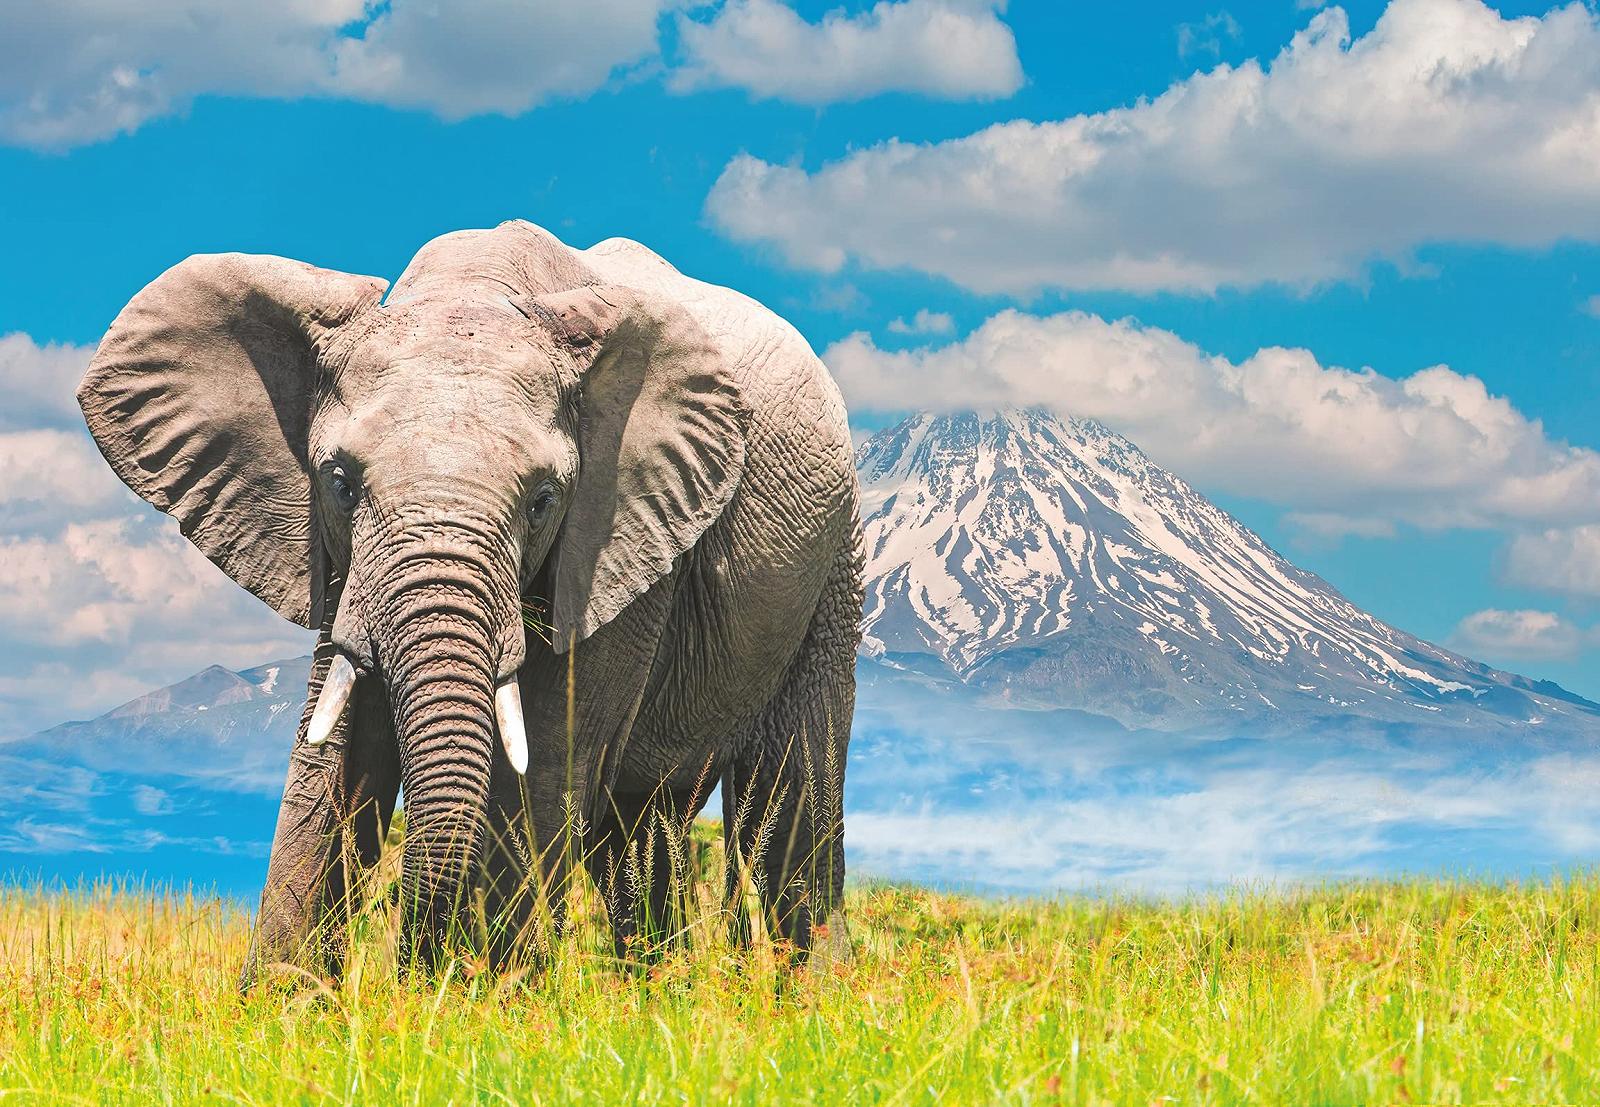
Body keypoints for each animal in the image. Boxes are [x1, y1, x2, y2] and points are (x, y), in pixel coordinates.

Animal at [77, 219, 863, 980]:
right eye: (340, 482)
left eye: (543, 500)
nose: (411, 969)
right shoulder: (337, 562)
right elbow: (337, 747)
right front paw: (283, 1002)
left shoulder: (619, 535)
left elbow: (543, 754)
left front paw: (492, 997)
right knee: (643, 829)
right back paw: (656, 993)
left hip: (832, 553)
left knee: (787, 798)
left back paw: (806, 995)